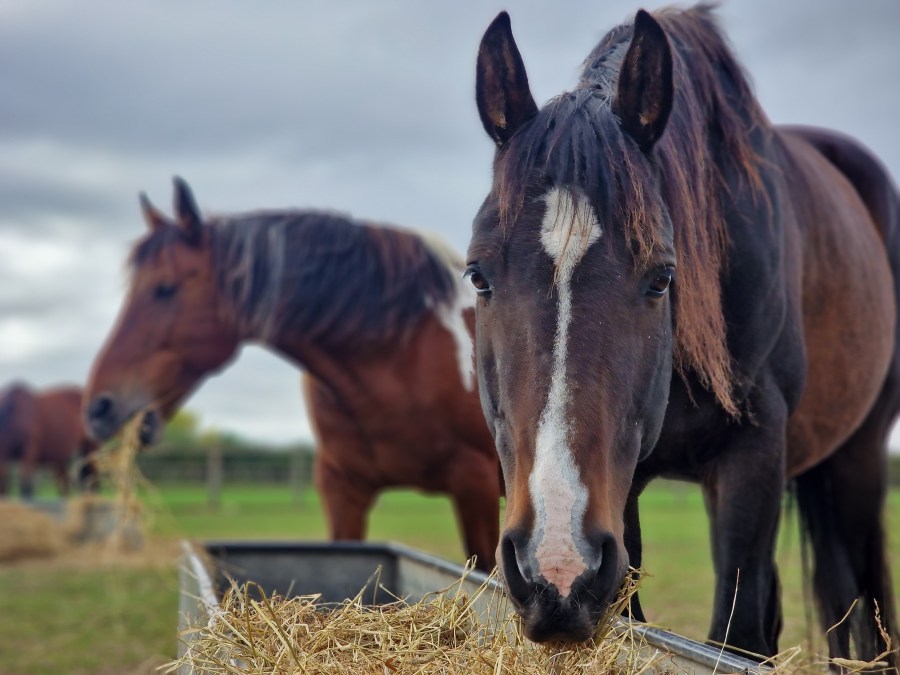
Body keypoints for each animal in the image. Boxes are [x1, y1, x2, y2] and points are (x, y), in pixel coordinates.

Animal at [469, 4, 900, 665]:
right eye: (477, 275)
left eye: (662, 278)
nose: (555, 571)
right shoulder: (621, 498)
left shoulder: (752, 458)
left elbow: (736, 638)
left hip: (857, 463)